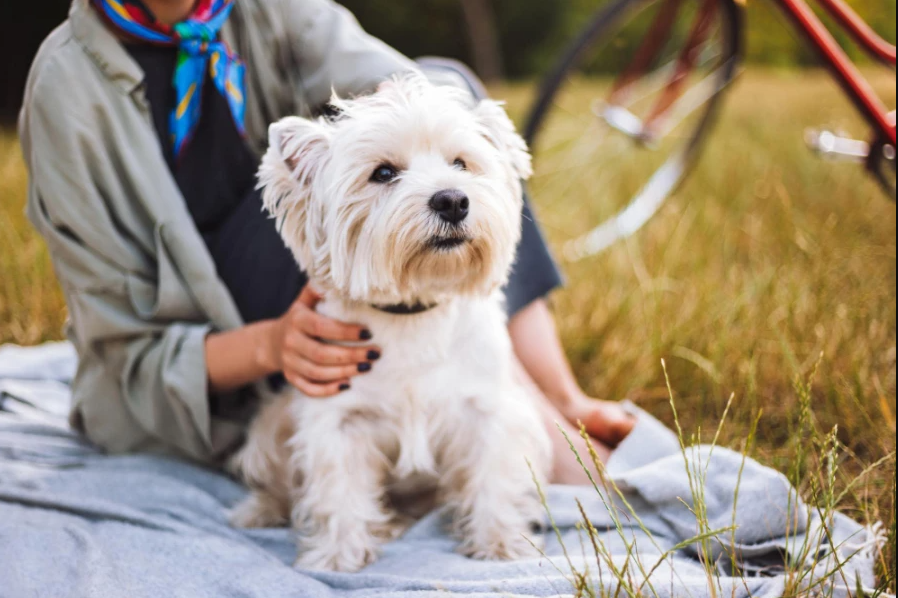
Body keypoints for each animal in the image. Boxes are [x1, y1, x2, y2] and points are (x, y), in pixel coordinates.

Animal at [229, 75, 552, 576]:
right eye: (382, 174)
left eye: (461, 163)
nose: (453, 200)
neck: (414, 310)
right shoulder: (338, 421)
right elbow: (339, 490)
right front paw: (337, 555)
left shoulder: (486, 411)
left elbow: (491, 476)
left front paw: (500, 542)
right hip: (271, 425)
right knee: (276, 481)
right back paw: (262, 510)